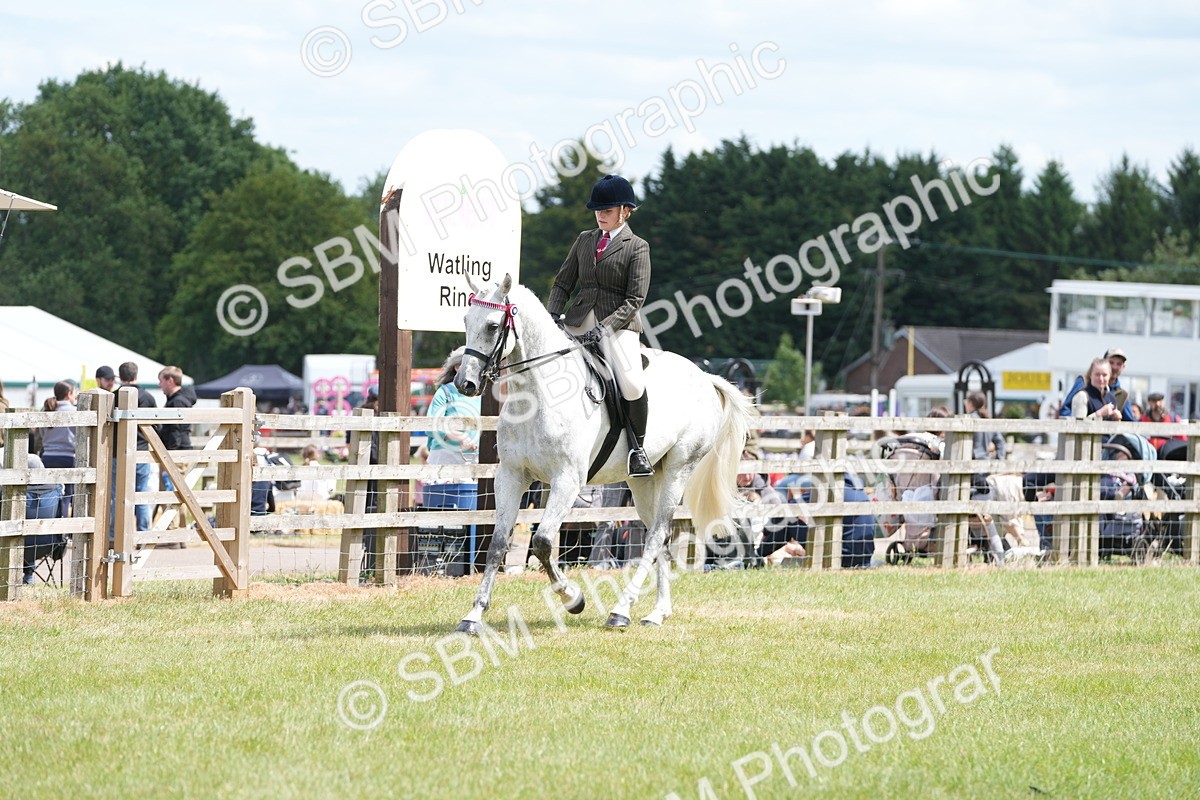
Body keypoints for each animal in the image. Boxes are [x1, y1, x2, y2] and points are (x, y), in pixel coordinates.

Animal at [453, 273, 755, 633]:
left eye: (492, 325)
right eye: (465, 321)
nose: (465, 383)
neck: (540, 393)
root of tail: (704, 377)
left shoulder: (567, 480)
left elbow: (542, 542)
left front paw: (574, 600)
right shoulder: (511, 476)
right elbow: (498, 543)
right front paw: (473, 616)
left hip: (680, 468)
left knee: (656, 535)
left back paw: (622, 610)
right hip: (644, 478)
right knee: (660, 535)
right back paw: (658, 611)